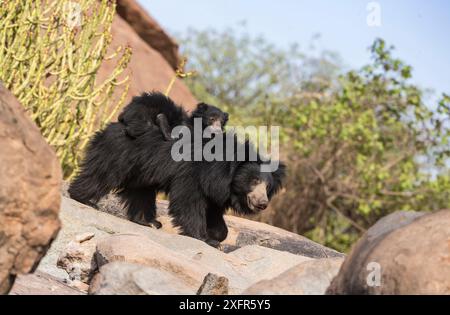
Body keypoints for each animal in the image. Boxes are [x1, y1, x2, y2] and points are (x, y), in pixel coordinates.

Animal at [67, 123, 284, 247]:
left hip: (142, 170)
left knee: (141, 192)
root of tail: (113, 125)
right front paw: (202, 237)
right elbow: (189, 202)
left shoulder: (216, 189)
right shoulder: (193, 173)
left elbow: (214, 211)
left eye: (267, 187)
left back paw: (148, 221)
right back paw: (82, 198)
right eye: (254, 181)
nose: (262, 203)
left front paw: (216, 235)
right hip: (122, 153)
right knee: (102, 173)